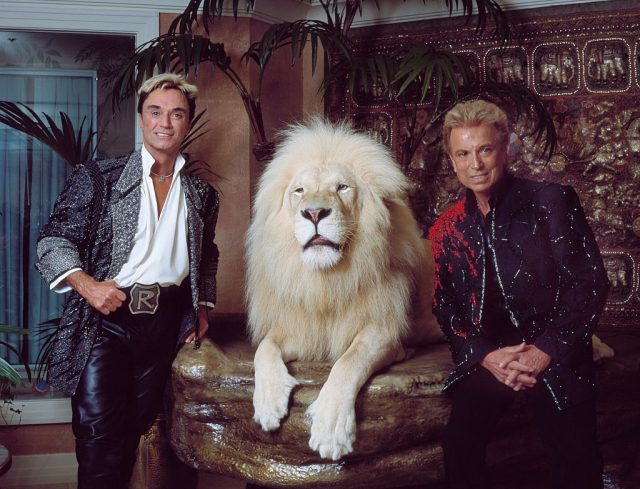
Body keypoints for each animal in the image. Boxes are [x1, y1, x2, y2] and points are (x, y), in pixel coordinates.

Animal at [244, 116, 440, 460]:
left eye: (342, 188)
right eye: (299, 191)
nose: (314, 213)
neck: (327, 280)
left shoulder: (384, 333)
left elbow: (348, 362)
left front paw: (331, 429)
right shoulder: (302, 331)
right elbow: (264, 349)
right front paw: (268, 404)